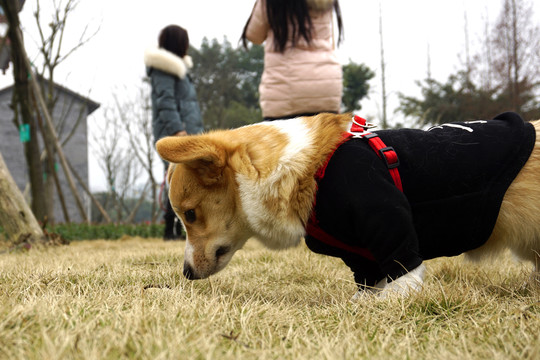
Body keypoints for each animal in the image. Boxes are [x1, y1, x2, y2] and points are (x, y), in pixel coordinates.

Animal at [155, 112, 540, 298]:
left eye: (190, 214)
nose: (186, 273)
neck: (309, 172)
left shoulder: (388, 223)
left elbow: (402, 275)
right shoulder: (361, 257)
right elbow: (368, 280)